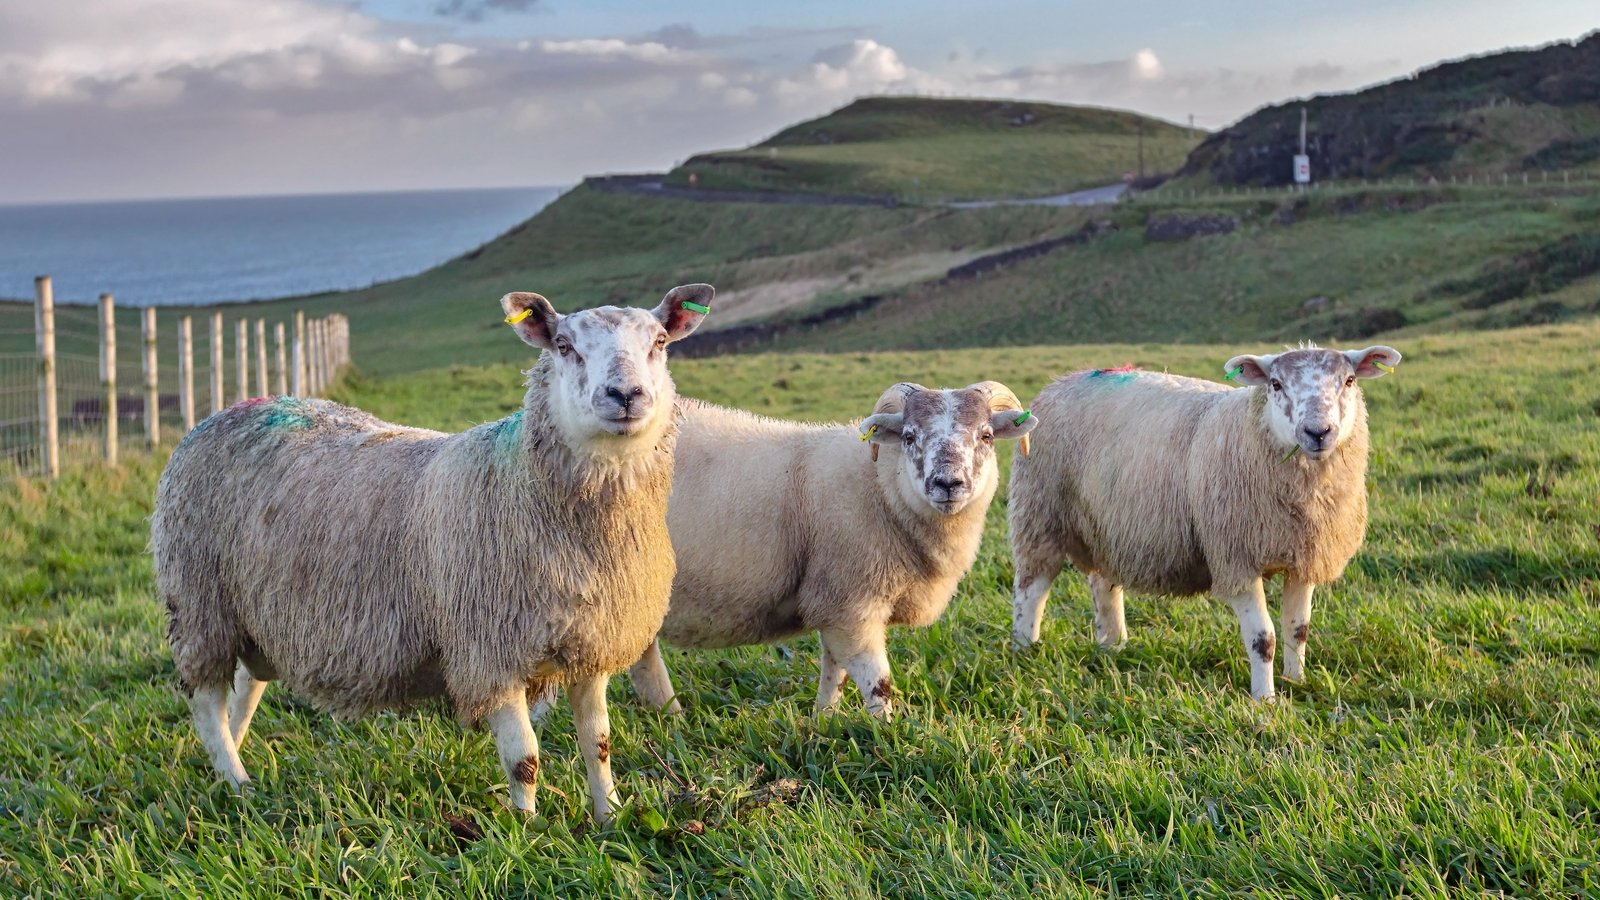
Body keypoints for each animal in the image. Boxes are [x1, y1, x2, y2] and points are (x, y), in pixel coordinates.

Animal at [149, 284, 712, 823]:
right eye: (564, 346)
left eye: (659, 343)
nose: (625, 394)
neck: (522, 484)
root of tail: (230, 409)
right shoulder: (487, 651)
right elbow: (524, 758)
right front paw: (526, 830)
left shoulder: (592, 644)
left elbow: (598, 744)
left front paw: (609, 817)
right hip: (199, 601)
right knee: (207, 701)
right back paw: (233, 778)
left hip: (253, 612)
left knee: (245, 687)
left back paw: (238, 758)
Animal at [622, 381, 1037, 719]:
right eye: (908, 436)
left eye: (986, 435)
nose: (948, 483)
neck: (881, 488)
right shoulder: (852, 603)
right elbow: (878, 684)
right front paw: (888, 736)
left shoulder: (833, 602)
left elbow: (834, 673)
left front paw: (825, 719)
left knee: (643, 659)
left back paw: (669, 716)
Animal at [1007, 345, 1402, 701]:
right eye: (1275, 384)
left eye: (1349, 380)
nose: (1318, 432)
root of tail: (1061, 381)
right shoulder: (1236, 558)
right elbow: (1264, 638)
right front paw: (1266, 700)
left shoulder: (1304, 556)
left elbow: (1297, 629)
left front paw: (1297, 682)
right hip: (1039, 512)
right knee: (1031, 588)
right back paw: (1024, 648)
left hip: (1109, 527)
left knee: (1103, 584)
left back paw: (1114, 645)